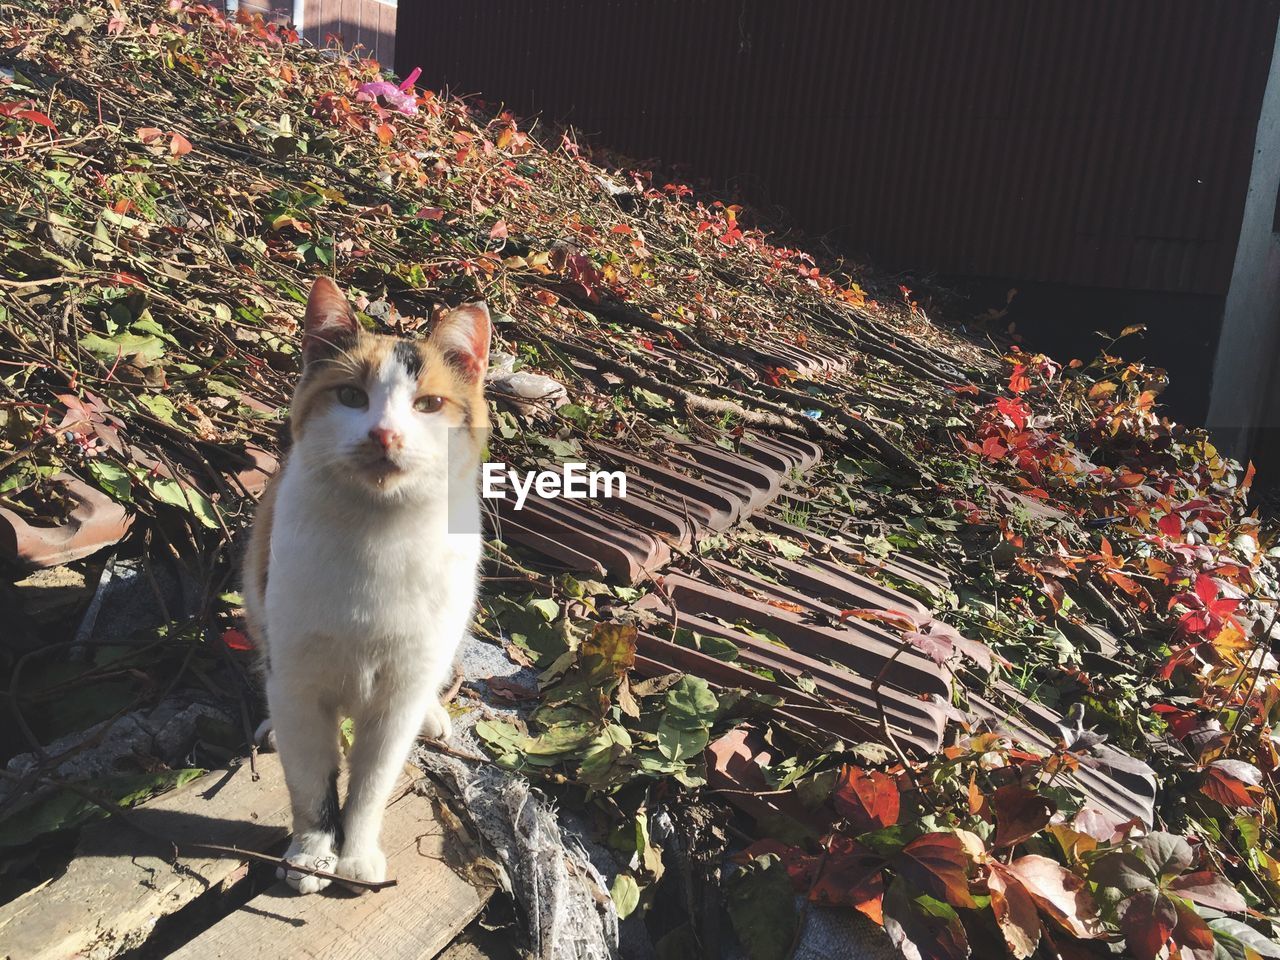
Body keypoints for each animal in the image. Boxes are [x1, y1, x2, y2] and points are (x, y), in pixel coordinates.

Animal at [243, 280, 488, 896]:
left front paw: (356, 855)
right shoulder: (300, 683)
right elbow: (311, 783)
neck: (378, 538)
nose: (385, 432)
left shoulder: (395, 699)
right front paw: (311, 855)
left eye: (429, 405)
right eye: (351, 396)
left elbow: (372, 785)